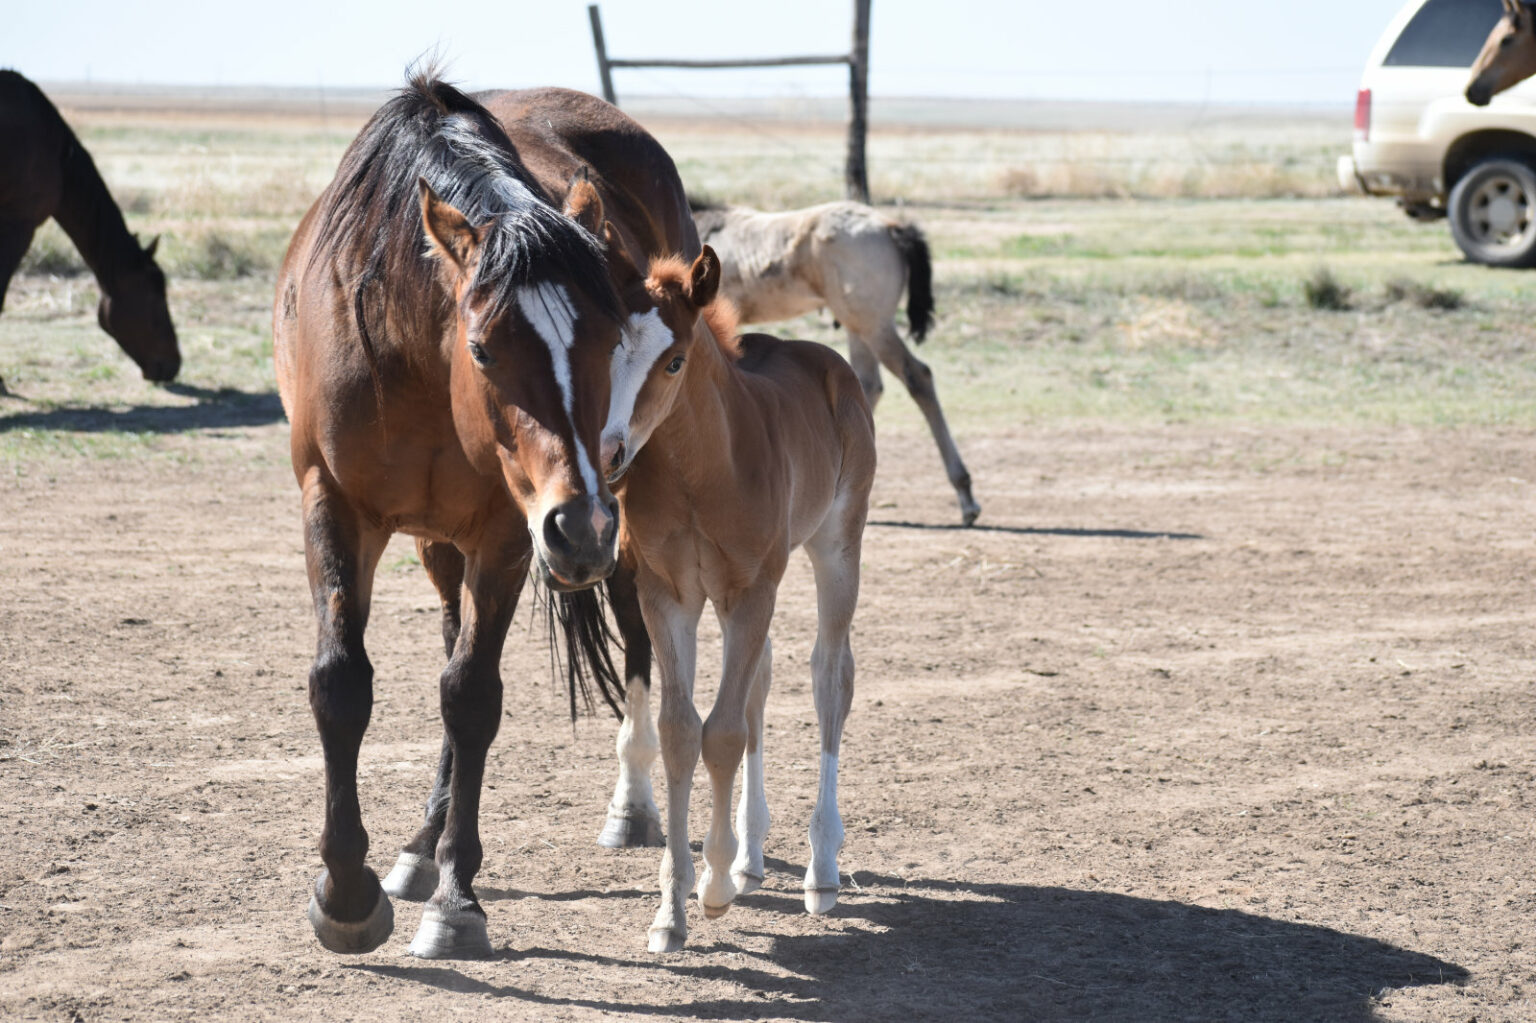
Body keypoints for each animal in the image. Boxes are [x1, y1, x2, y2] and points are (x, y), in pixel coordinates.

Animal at [273, 77, 645, 958]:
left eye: (613, 337)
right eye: (483, 348)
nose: (581, 528)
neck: (414, 353)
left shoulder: (509, 530)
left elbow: (471, 696)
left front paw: (456, 899)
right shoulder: (331, 503)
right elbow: (342, 682)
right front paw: (346, 893)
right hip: (441, 541)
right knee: (447, 637)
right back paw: (416, 847)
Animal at [592, 242, 872, 952]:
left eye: (673, 360)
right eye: (605, 349)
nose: (608, 452)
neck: (701, 469)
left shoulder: (751, 591)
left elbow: (721, 732)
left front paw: (712, 890)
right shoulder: (668, 595)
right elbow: (680, 731)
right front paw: (672, 911)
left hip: (837, 546)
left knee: (830, 676)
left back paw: (821, 869)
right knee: (761, 685)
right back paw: (750, 857)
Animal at [691, 198, 976, 522]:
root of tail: (891, 227)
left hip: (872, 325)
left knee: (918, 376)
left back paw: (964, 493)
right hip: (856, 325)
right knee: (870, 382)